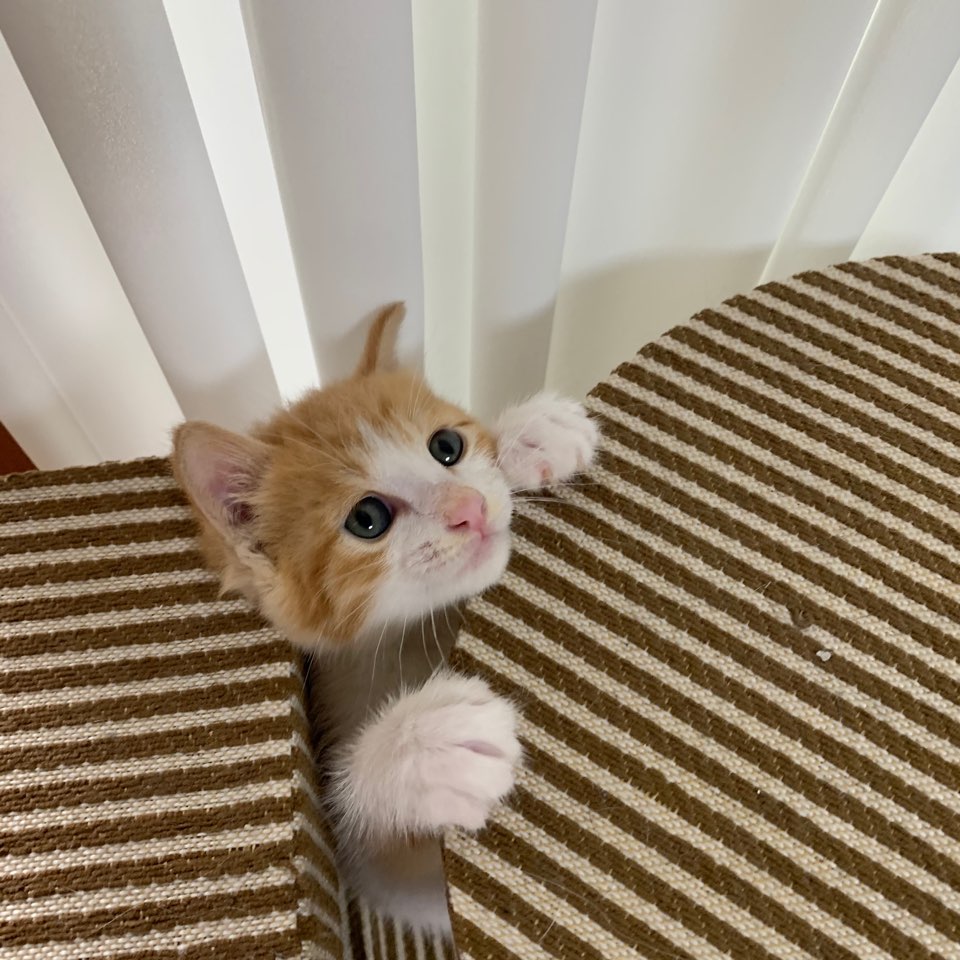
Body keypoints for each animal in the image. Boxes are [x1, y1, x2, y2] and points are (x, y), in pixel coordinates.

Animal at [171, 303, 598, 935]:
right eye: (367, 519)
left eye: (446, 445)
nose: (469, 509)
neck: (418, 637)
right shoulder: (393, 889)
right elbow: (391, 868)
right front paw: (421, 747)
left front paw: (528, 432)